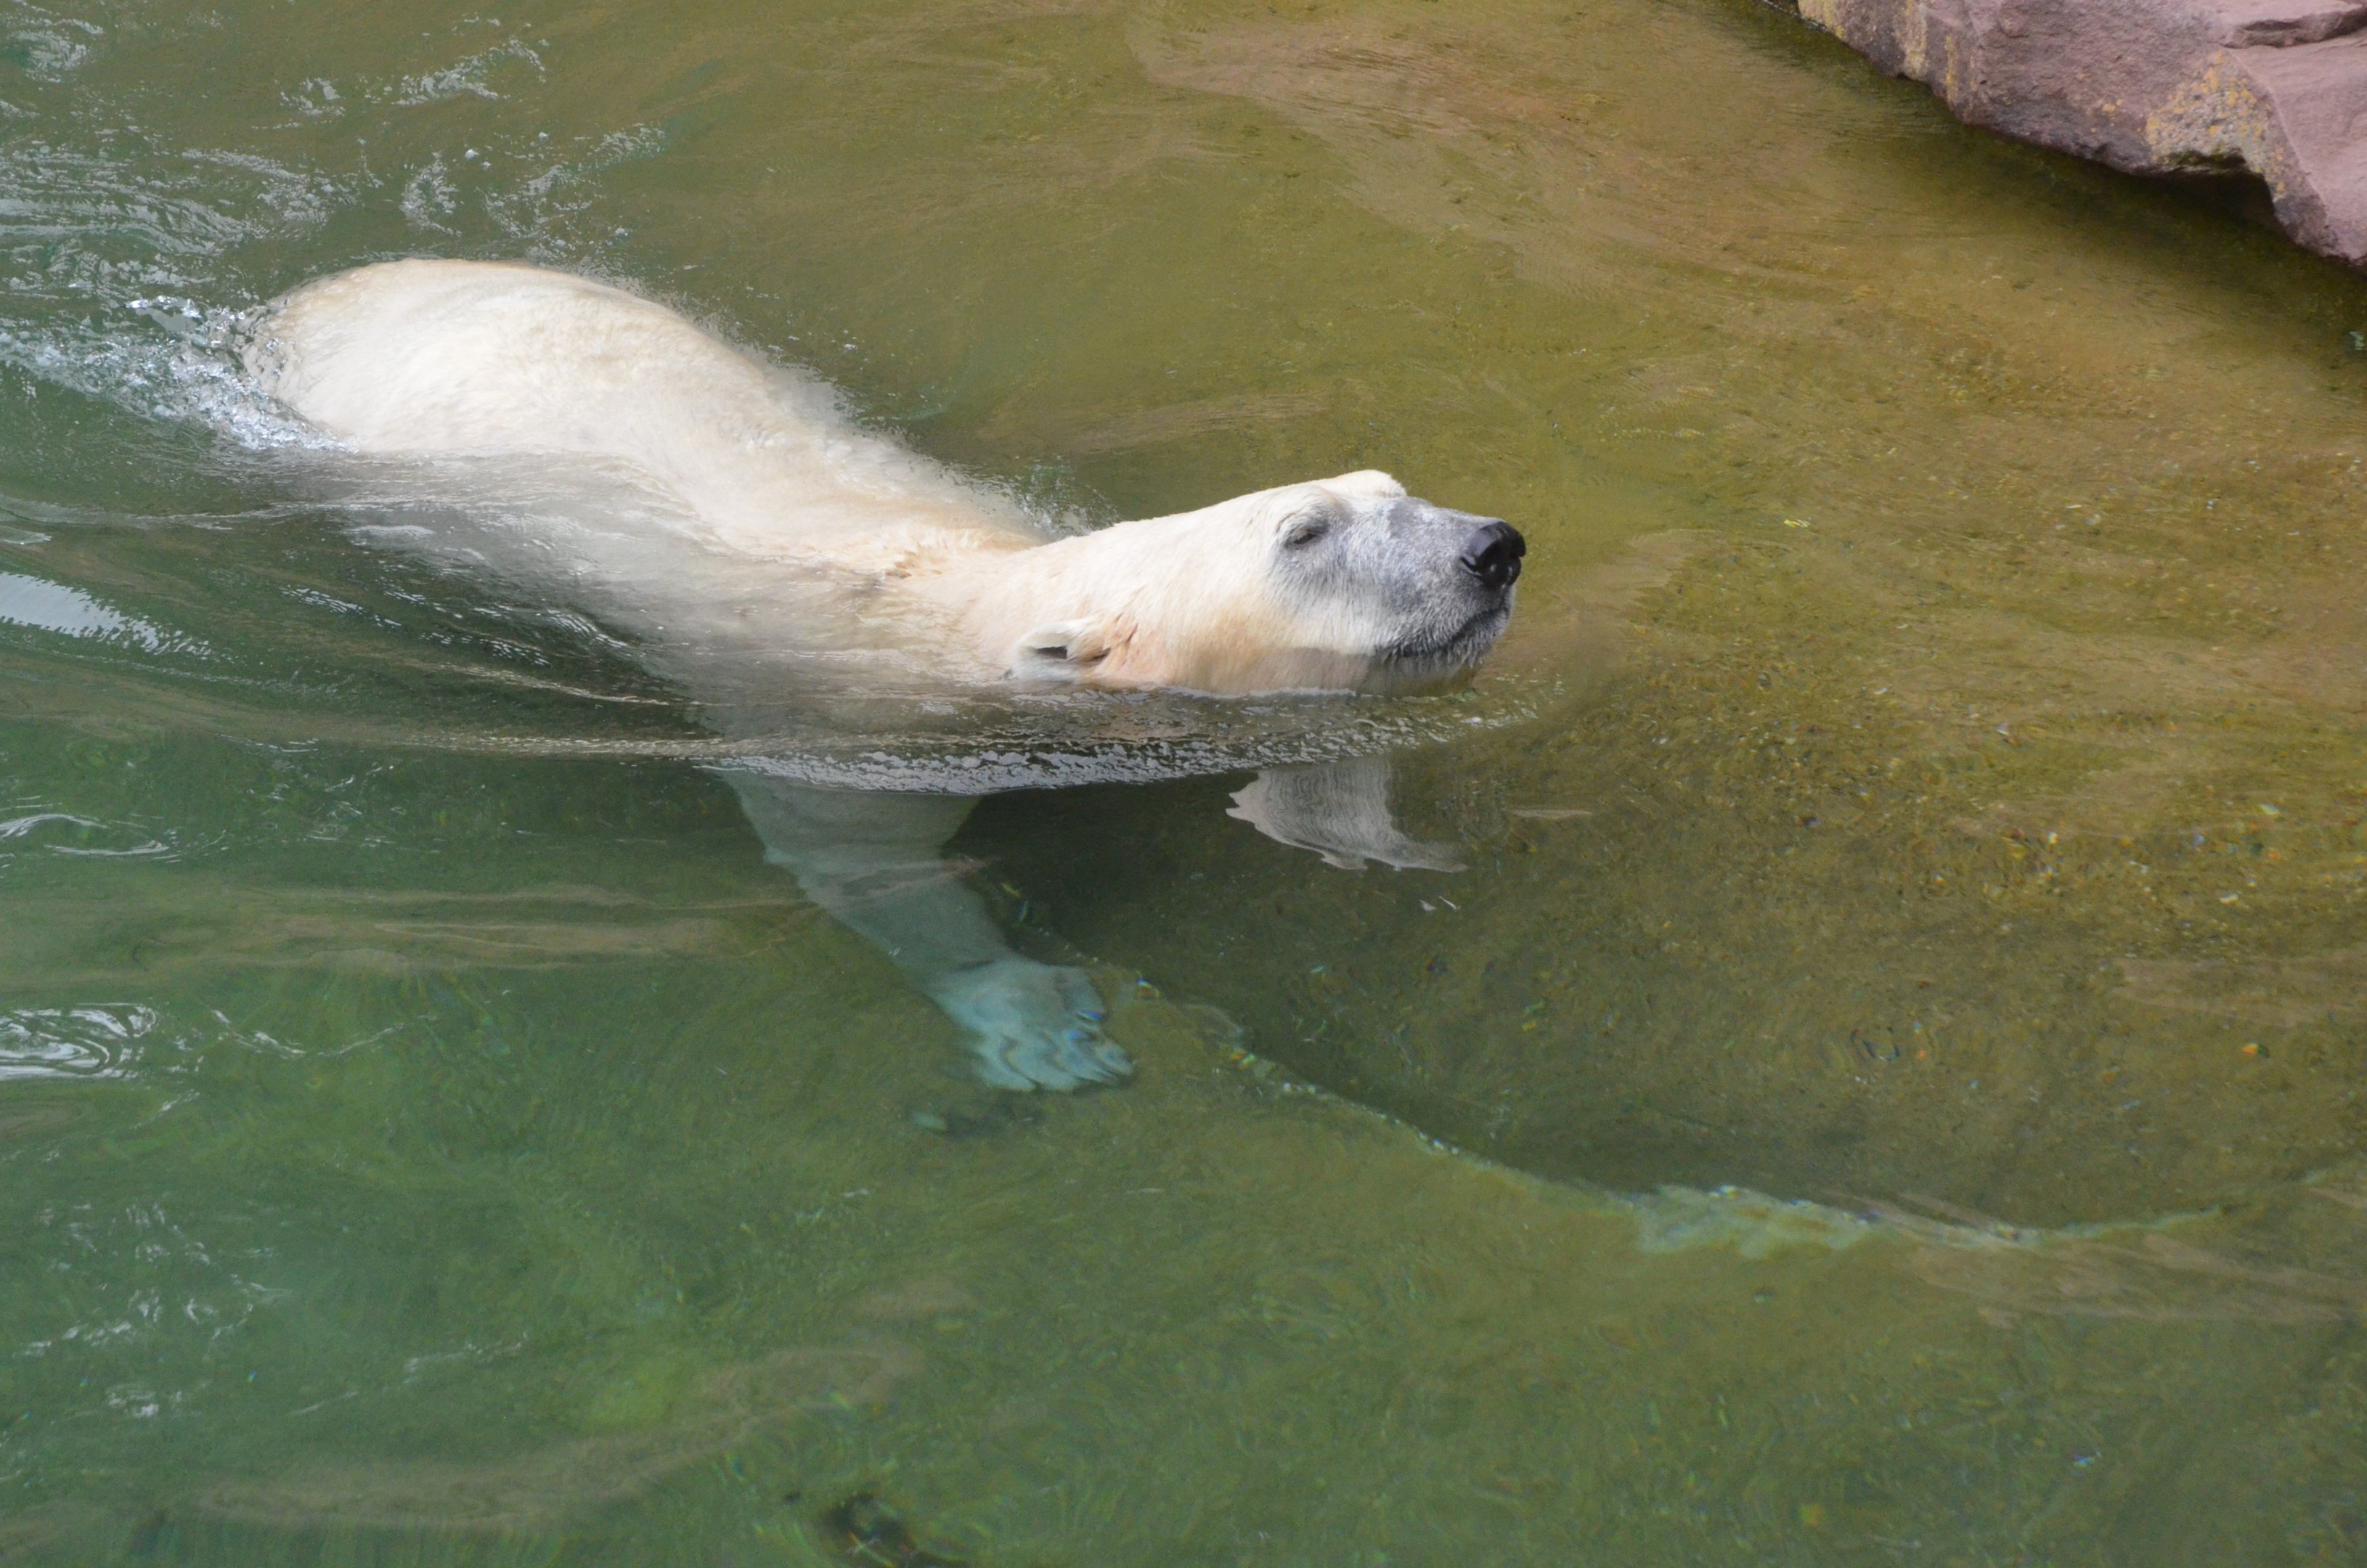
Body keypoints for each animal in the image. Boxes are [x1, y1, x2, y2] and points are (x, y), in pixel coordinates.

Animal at [244, 259, 1523, 1090]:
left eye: (1392, 487)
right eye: (1304, 534)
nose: (1493, 547)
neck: (962, 605)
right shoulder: (842, 727)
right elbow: (865, 872)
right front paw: (1041, 1026)